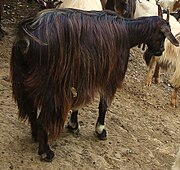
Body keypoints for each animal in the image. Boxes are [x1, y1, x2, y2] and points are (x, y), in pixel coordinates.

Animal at [10, 8, 179, 162]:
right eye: (162, 36)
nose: (161, 50)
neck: (127, 32)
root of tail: (26, 38)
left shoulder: (81, 74)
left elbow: (77, 102)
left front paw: (73, 125)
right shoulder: (110, 75)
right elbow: (103, 104)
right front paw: (100, 131)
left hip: (24, 79)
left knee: (31, 110)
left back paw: (35, 136)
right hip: (52, 87)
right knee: (42, 118)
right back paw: (46, 151)